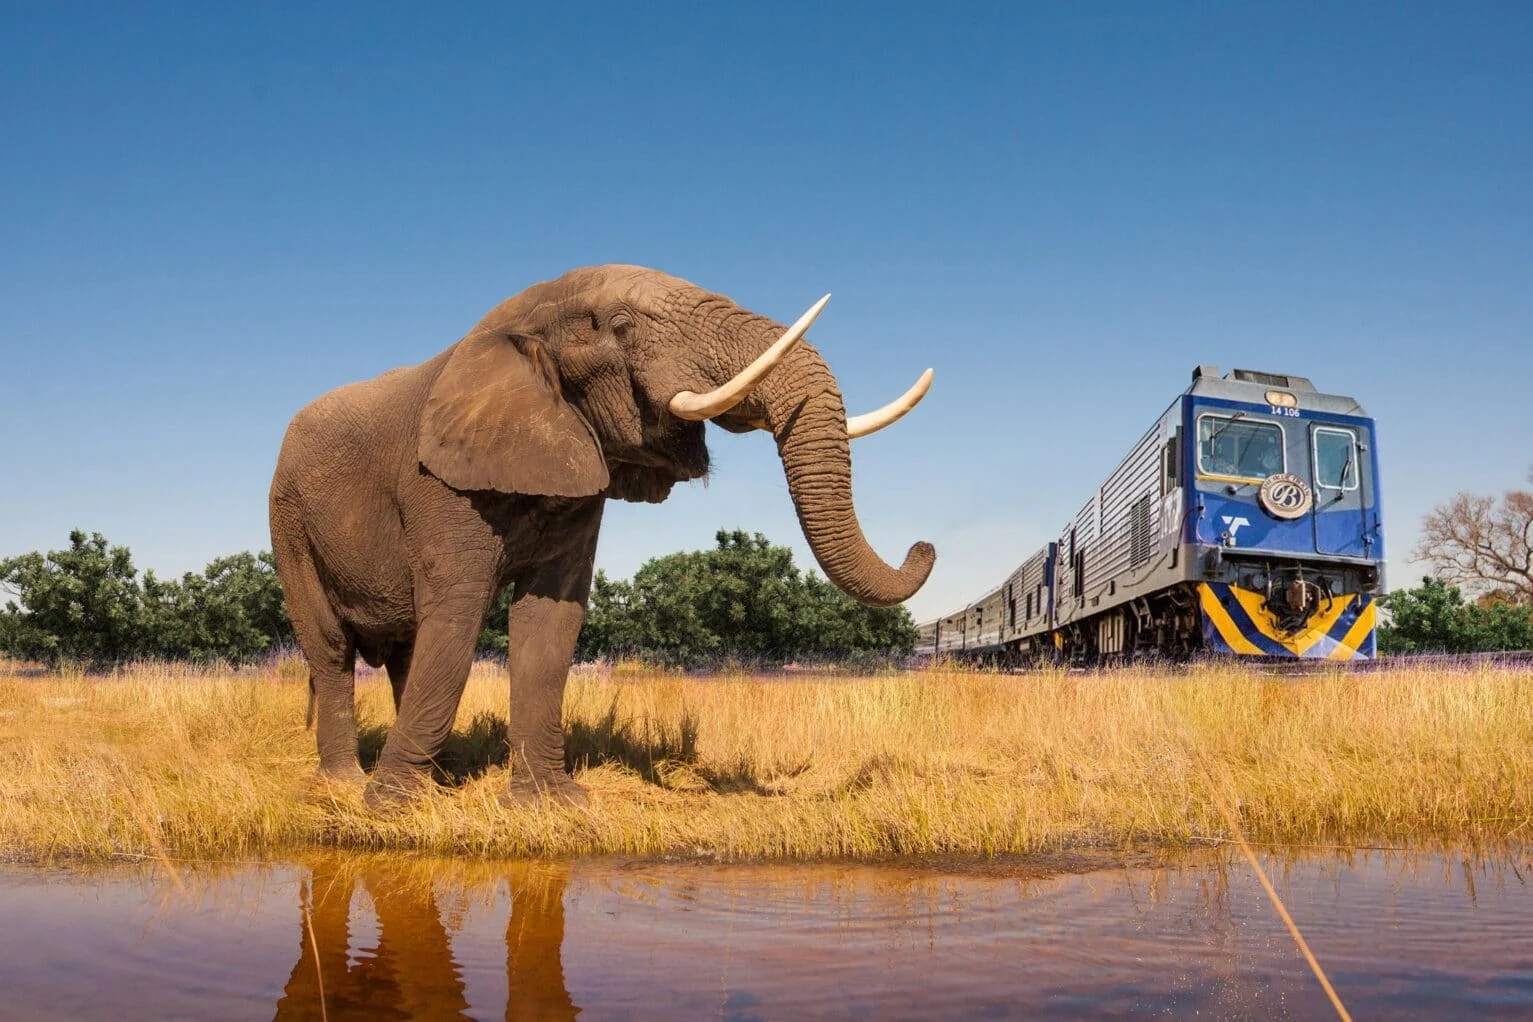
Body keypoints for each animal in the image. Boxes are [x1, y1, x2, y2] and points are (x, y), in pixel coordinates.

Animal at [268, 264, 934, 809]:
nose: (923, 546)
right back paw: (348, 785)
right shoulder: (437, 482)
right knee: (333, 647)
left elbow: (549, 621)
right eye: (619, 325)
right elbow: (457, 616)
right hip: (287, 521)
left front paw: (551, 805)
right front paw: (391, 810)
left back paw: (436, 775)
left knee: (407, 650)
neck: (518, 320)